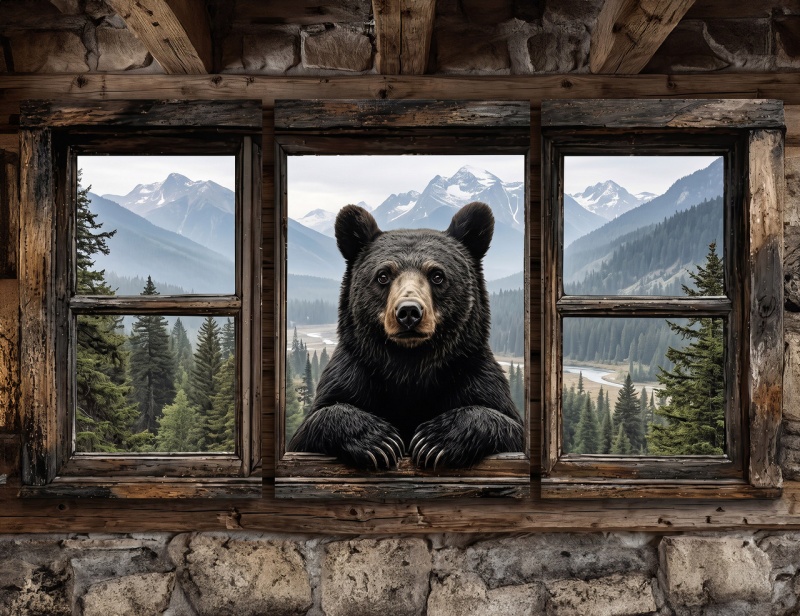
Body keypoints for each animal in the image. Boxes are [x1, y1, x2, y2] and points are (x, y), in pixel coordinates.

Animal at [287, 201, 524, 470]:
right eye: (383, 275)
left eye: (437, 275)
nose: (409, 311)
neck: (409, 365)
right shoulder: (352, 372)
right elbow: (317, 420)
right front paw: (381, 442)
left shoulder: (472, 372)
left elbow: (505, 422)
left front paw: (433, 440)